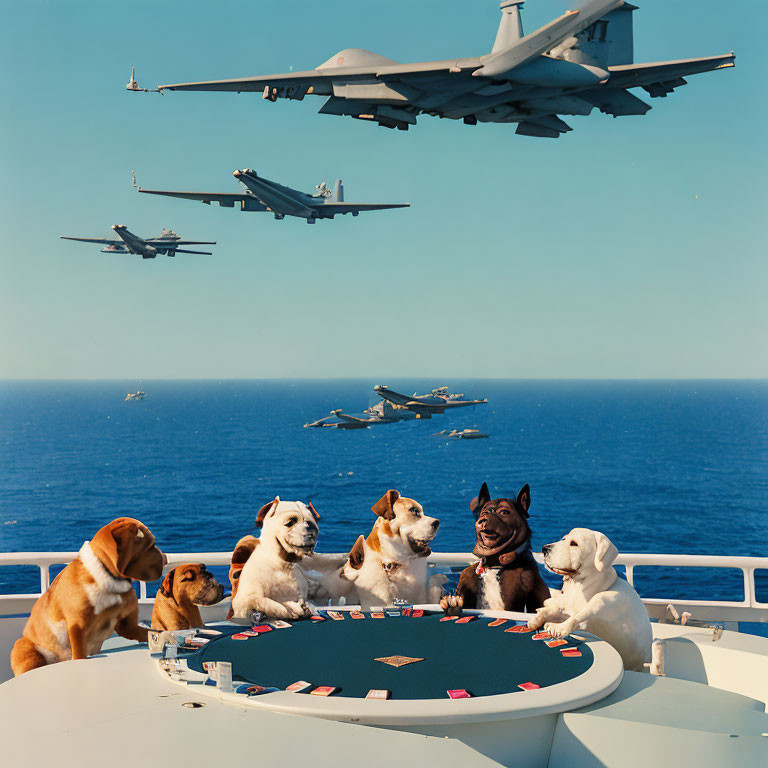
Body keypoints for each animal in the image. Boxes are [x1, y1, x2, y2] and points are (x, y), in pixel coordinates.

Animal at [10, 520, 167, 676]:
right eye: (151, 546)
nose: (165, 558)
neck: (110, 580)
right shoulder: (77, 628)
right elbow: (79, 655)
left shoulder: (128, 626)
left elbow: (149, 632)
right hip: (27, 652)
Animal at [532, 532, 652, 668]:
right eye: (563, 538)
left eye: (574, 543)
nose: (545, 549)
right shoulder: (568, 606)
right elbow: (556, 608)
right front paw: (538, 617)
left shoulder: (611, 599)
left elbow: (578, 616)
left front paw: (557, 625)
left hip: (606, 599)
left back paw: (558, 626)